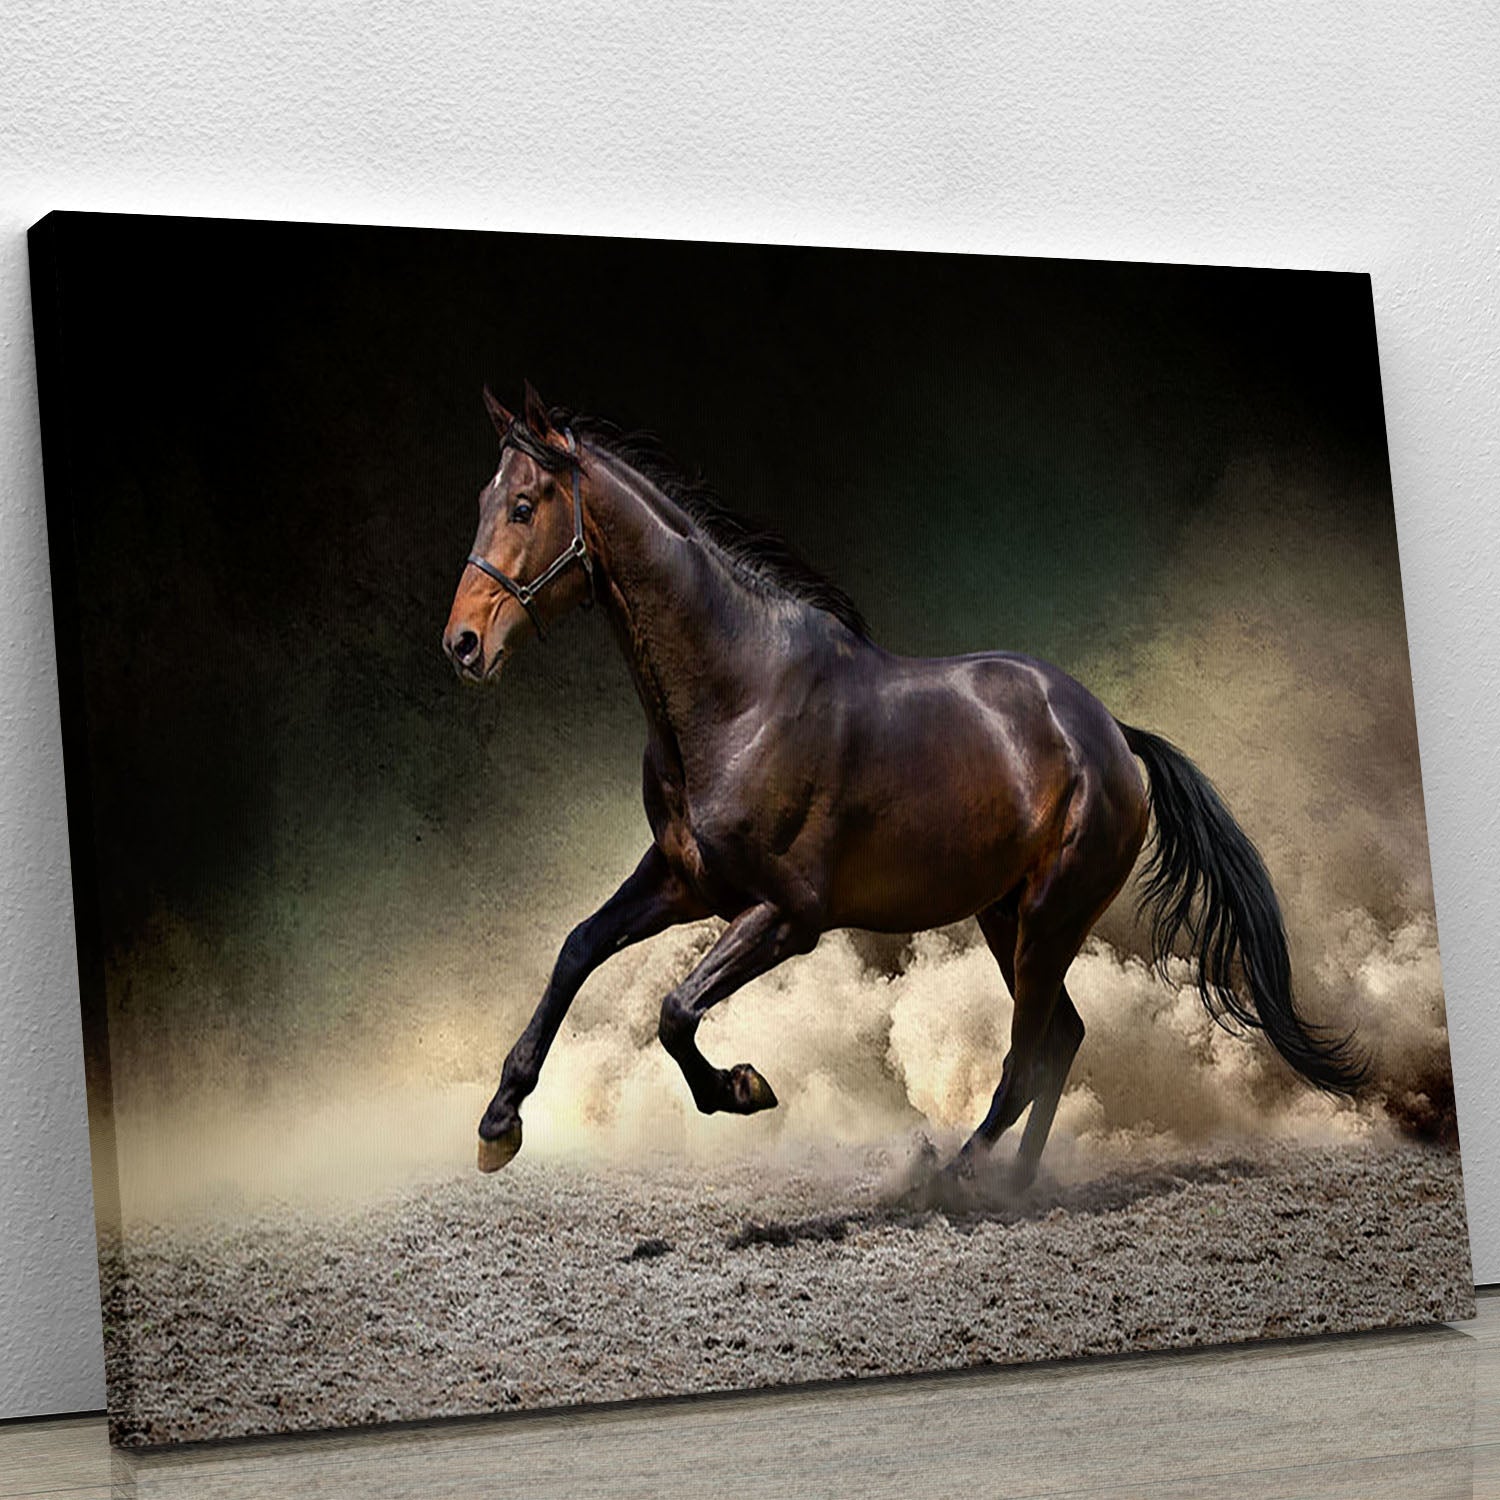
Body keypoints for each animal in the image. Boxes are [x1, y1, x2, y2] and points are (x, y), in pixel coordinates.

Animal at [443, 383, 1365, 1181]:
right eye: (485, 501)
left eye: (525, 506)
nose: (462, 644)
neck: (740, 696)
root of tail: (1111, 734)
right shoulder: (683, 881)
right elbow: (578, 948)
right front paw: (499, 1123)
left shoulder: (787, 916)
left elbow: (674, 1010)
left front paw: (743, 1088)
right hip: (1006, 916)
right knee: (1061, 1040)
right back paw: (1017, 1186)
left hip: (1050, 917)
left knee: (1028, 1057)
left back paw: (957, 1181)